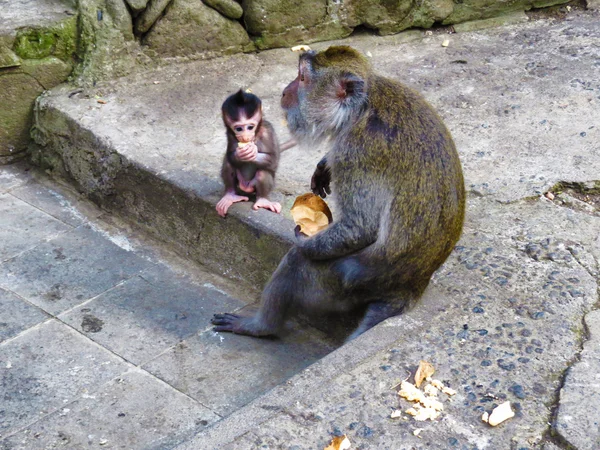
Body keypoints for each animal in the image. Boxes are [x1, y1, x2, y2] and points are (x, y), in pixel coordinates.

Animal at [213, 46, 466, 342]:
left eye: (302, 79)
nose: (284, 91)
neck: (361, 109)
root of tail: (411, 288)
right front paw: (324, 165)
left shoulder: (355, 153)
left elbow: (360, 227)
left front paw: (302, 240)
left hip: (339, 284)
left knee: (298, 263)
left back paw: (261, 326)